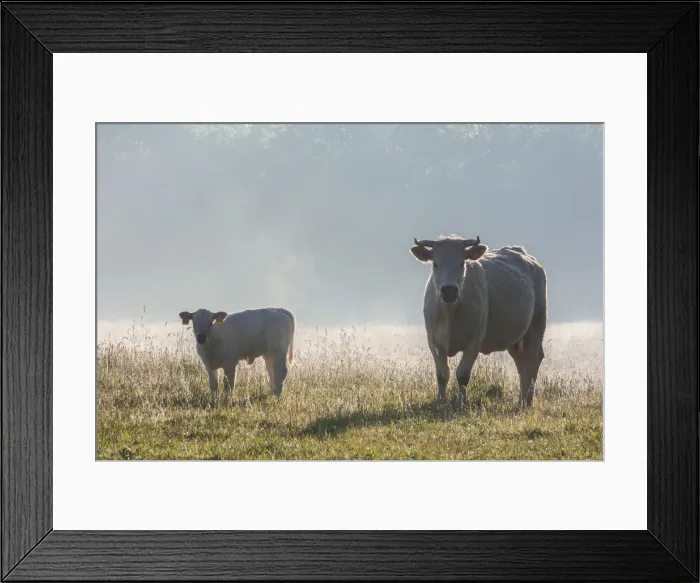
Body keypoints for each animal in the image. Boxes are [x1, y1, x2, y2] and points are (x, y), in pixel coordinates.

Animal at [410, 234, 547, 411]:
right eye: (435, 263)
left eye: (462, 263)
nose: (449, 290)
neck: (450, 314)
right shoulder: (434, 341)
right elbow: (442, 374)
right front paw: (440, 403)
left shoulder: (474, 340)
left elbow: (462, 375)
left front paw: (462, 405)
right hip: (516, 338)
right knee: (522, 364)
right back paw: (520, 403)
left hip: (537, 323)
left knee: (533, 360)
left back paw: (527, 403)